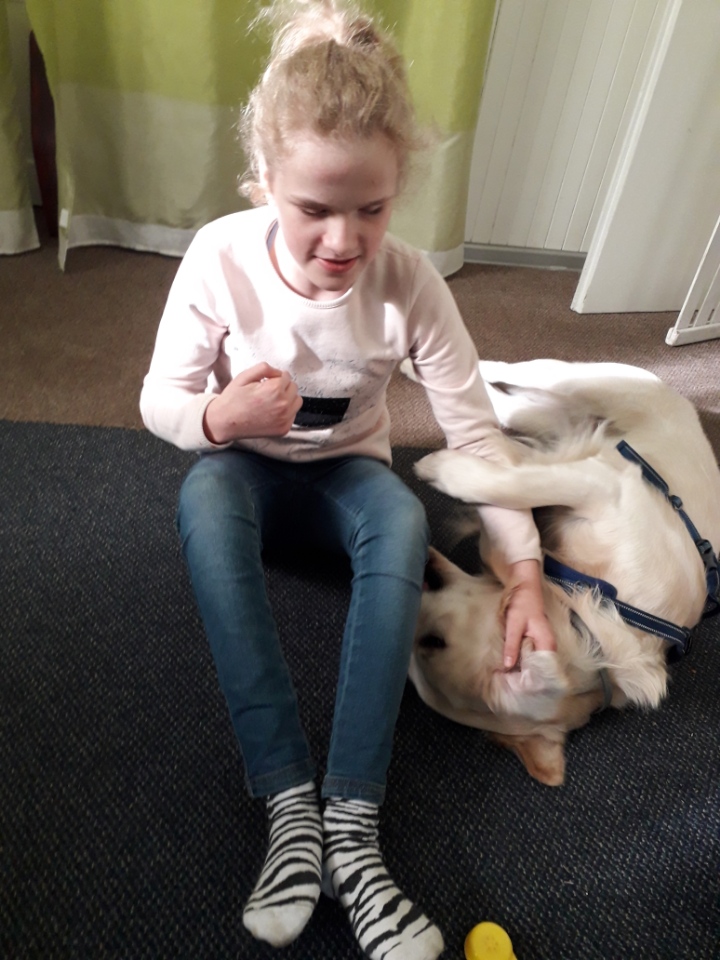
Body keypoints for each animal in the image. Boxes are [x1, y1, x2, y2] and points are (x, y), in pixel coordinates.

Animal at [407, 359, 720, 786]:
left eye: (433, 642)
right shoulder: (602, 484)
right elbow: (517, 485)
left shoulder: (602, 484)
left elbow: (511, 484)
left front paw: (445, 469)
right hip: (565, 388)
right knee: (501, 382)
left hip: (554, 400)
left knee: (500, 399)